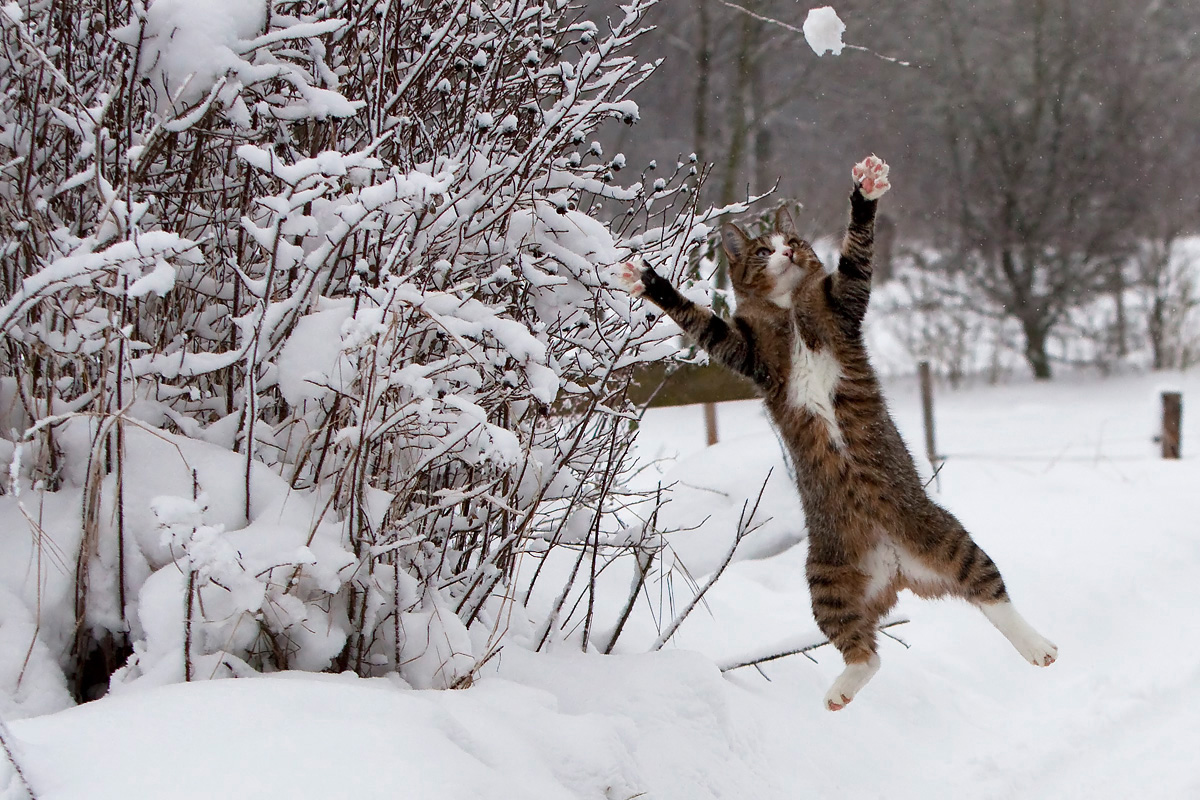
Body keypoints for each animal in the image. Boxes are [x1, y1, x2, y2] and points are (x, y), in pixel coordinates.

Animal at [614, 153, 1056, 710]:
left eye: (793, 241)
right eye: (763, 250)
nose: (786, 250)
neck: (789, 311)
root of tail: (897, 569)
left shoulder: (844, 304)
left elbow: (857, 256)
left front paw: (865, 190)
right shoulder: (747, 352)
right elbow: (700, 320)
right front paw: (651, 282)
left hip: (945, 536)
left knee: (992, 595)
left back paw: (1039, 646)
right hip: (825, 582)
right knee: (866, 651)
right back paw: (842, 690)